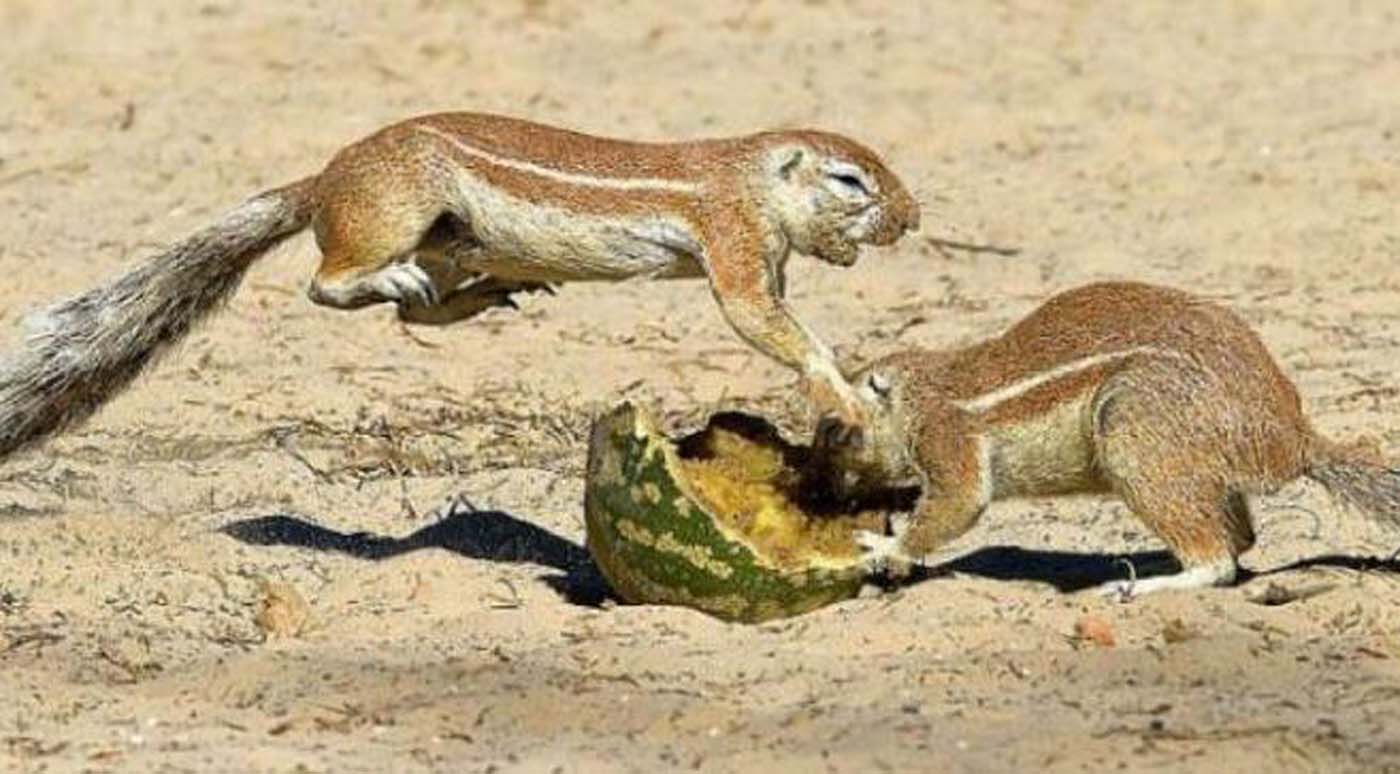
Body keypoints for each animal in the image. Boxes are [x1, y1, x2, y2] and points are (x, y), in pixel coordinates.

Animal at [0, 112, 918, 461]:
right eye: (849, 181)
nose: (911, 216)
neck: (748, 175)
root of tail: (324, 180)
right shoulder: (731, 240)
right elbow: (765, 324)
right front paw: (846, 395)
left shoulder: (764, 253)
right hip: (393, 214)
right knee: (329, 285)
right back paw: (393, 278)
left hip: (450, 235)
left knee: (419, 312)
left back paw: (476, 295)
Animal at [812, 281, 1400, 593]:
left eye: (837, 431)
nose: (825, 495)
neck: (921, 389)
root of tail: (1292, 436)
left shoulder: (946, 435)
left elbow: (959, 502)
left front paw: (883, 546)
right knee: (1239, 538)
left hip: (1131, 428)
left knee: (1216, 564)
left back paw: (1147, 585)